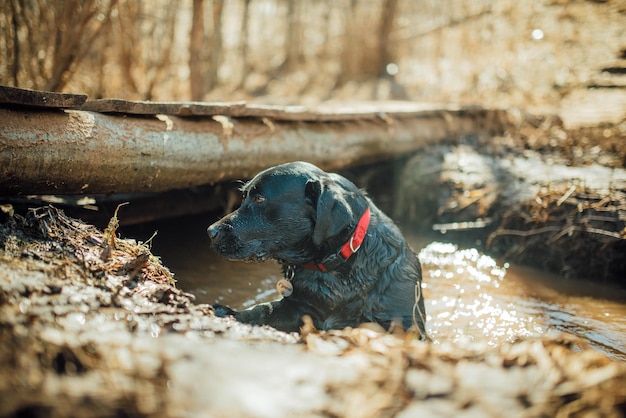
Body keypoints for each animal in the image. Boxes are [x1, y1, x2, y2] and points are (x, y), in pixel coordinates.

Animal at [206, 161, 424, 336]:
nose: (210, 231)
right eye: (243, 197)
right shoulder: (295, 307)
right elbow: (263, 309)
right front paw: (228, 312)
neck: (333, 267)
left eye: (260, 198)